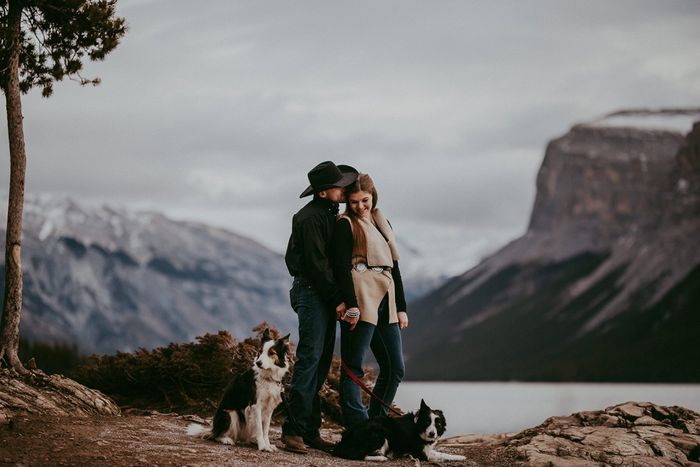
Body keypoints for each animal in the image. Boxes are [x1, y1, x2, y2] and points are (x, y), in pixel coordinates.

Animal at [332, 400, 464, 462]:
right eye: (427, 422)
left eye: (438, 424)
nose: (432, 434)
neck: (417, 428)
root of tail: (342, 443)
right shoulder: (424, 454)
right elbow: (444, 454)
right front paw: (461, 457)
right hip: (380, 434)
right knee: (358, 455)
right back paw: (381, 458)